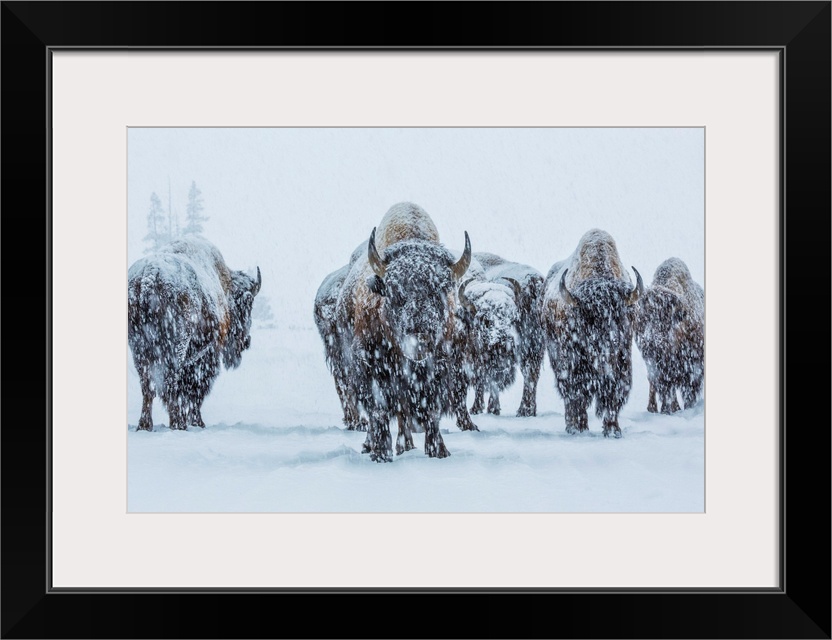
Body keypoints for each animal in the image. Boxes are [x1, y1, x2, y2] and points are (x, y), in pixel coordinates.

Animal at [127, 238, 260, 432]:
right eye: (247, 306)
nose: (246, 342)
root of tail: (148, 277)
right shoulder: (206, 354)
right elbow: (196, 389)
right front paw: (198, 422)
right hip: (176, 346)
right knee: (171, 381)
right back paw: (178, 423)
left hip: (138, 348)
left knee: (147, 384)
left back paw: (145, 425)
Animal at [334, 202, 472, 462]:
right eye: (395, 291)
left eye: (441, 291)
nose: (419, 339)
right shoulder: (371, 365)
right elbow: (378, 411)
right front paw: (380, 452)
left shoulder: (439, 368)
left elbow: (431, 411)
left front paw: (439, 450)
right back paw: (374, 445)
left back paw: (406, 445)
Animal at [540, 228, 644, 438]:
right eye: (588, 318)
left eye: (620, 316)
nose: (607, 345)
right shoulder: (572, 364)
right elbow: (576, 394)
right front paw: (578, 428)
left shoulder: (622, 362)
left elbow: (613, 396)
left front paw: (613, 430)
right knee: (569, 396)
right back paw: (573, 426)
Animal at [636, 256, 704, 412]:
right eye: (641, 318)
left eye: (665, 317)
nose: (650, 343)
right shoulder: (659, 369)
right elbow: (666, 389)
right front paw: (669, 409)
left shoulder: (693, 369)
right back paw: (653, 408)